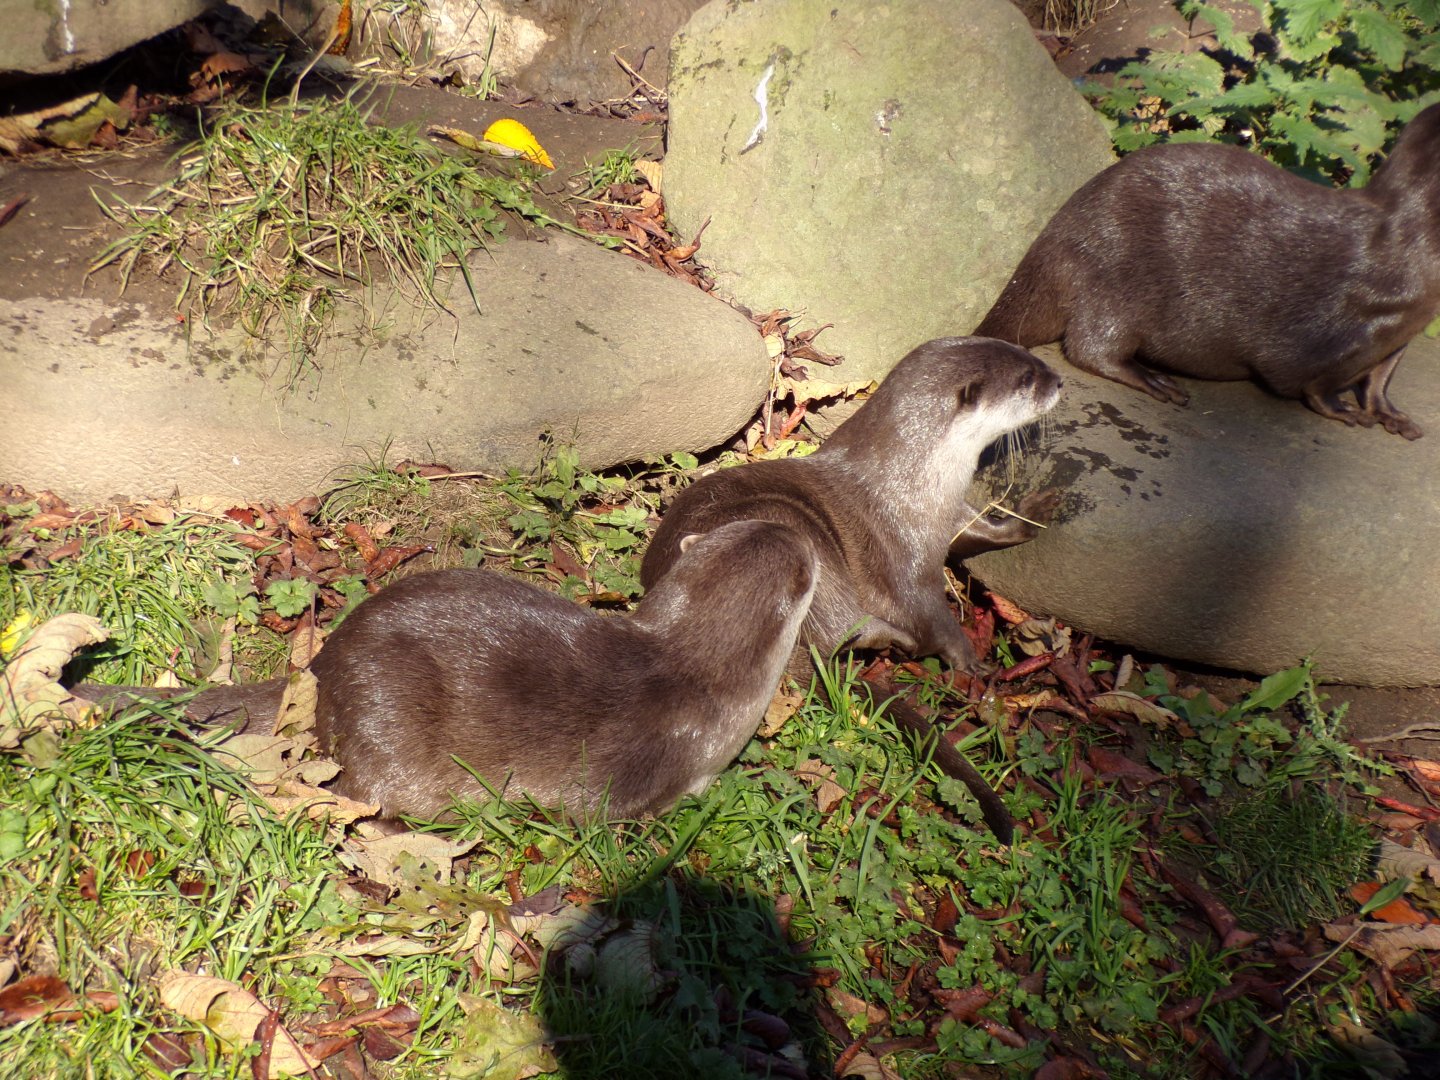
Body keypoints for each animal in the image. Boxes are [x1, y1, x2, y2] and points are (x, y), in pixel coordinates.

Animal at [640, 336, 1065, 843]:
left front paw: (1034, 512)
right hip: (803, 544)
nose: (1060, 380)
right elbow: (928, 613)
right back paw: (894, 643)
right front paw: (968, 659)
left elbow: (984, 530)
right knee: (846, 627)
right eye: (1027, 378)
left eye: (1031, 356)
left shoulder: (952, 515)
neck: (916, 483)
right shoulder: (903, 549)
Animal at [975, 101, 1440, 439]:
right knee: (1090, 347)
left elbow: (1380, 378)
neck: (1413, 247)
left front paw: (1390, 414)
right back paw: (1153, 379)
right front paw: (1343, 410)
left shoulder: (1403, 333)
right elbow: (1308, 381)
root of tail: (1054, 236)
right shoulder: (1335, 324)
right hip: (1111, 276)